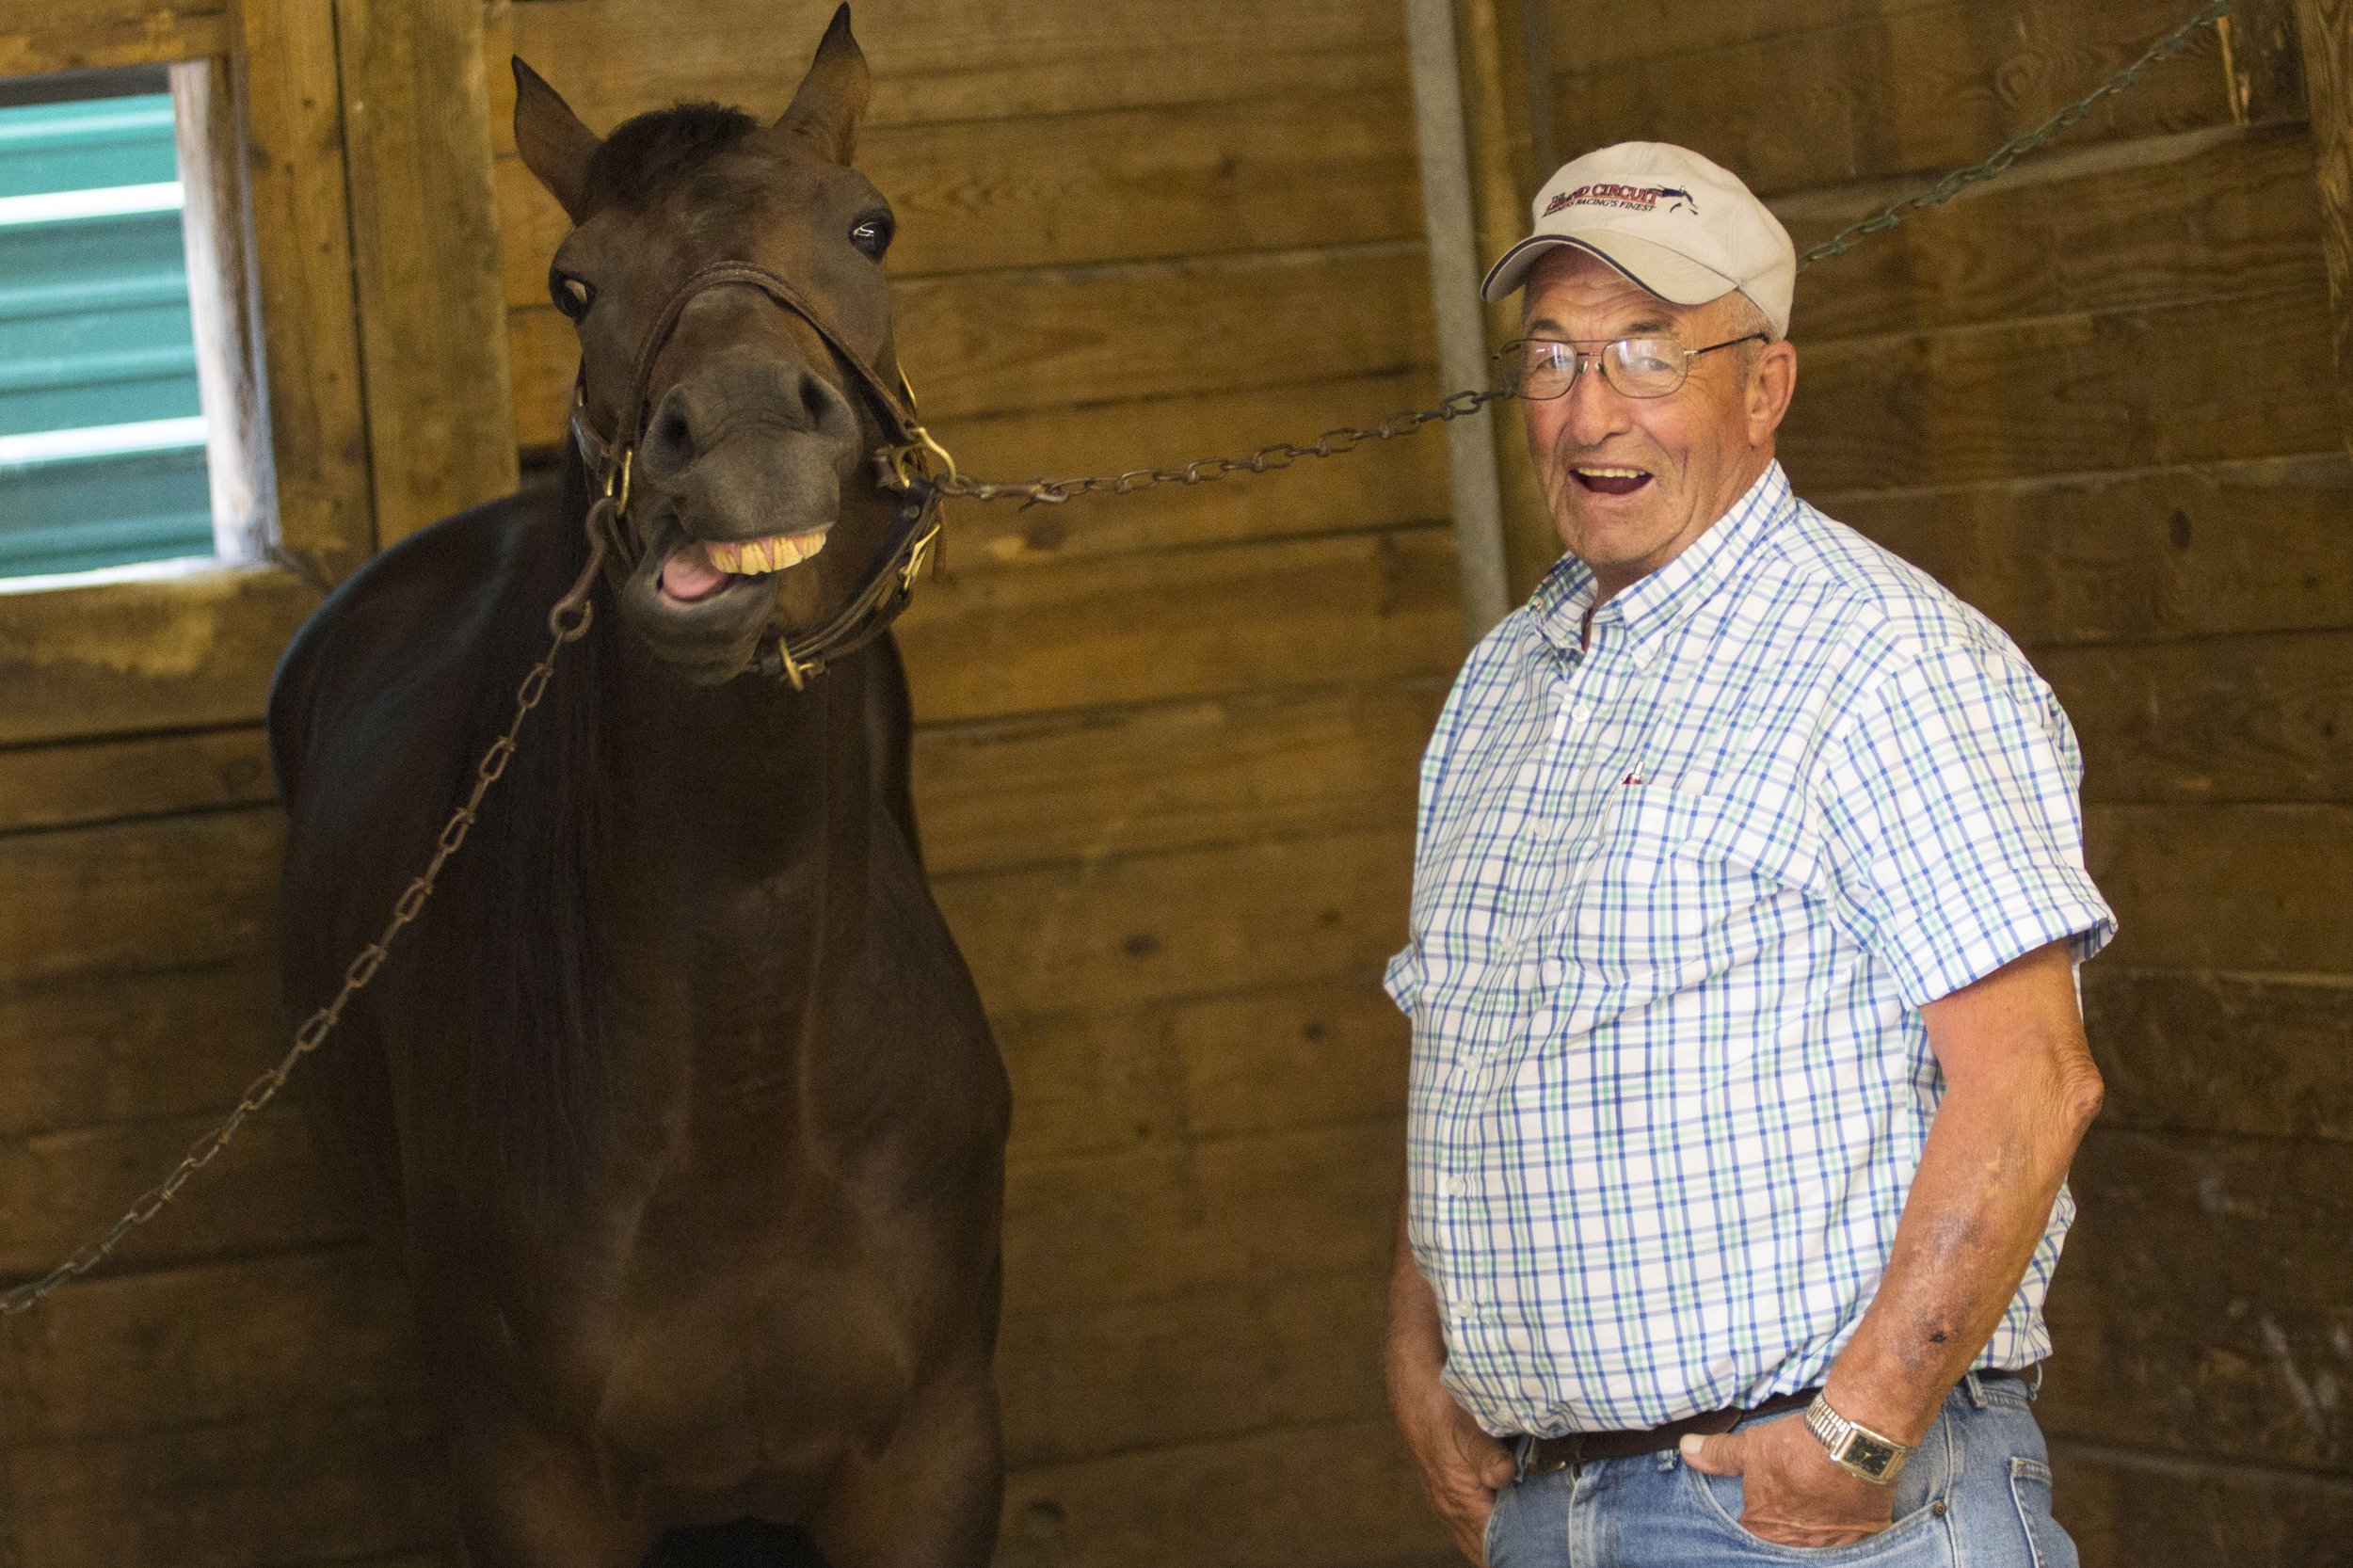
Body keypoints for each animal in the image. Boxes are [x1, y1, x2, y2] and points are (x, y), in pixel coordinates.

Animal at [266, 11, 1008, 1564]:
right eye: (573, 282)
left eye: (869, 224)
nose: (737, 433)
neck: (738, 1114)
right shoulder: (529, 1481)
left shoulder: (933, 1458)